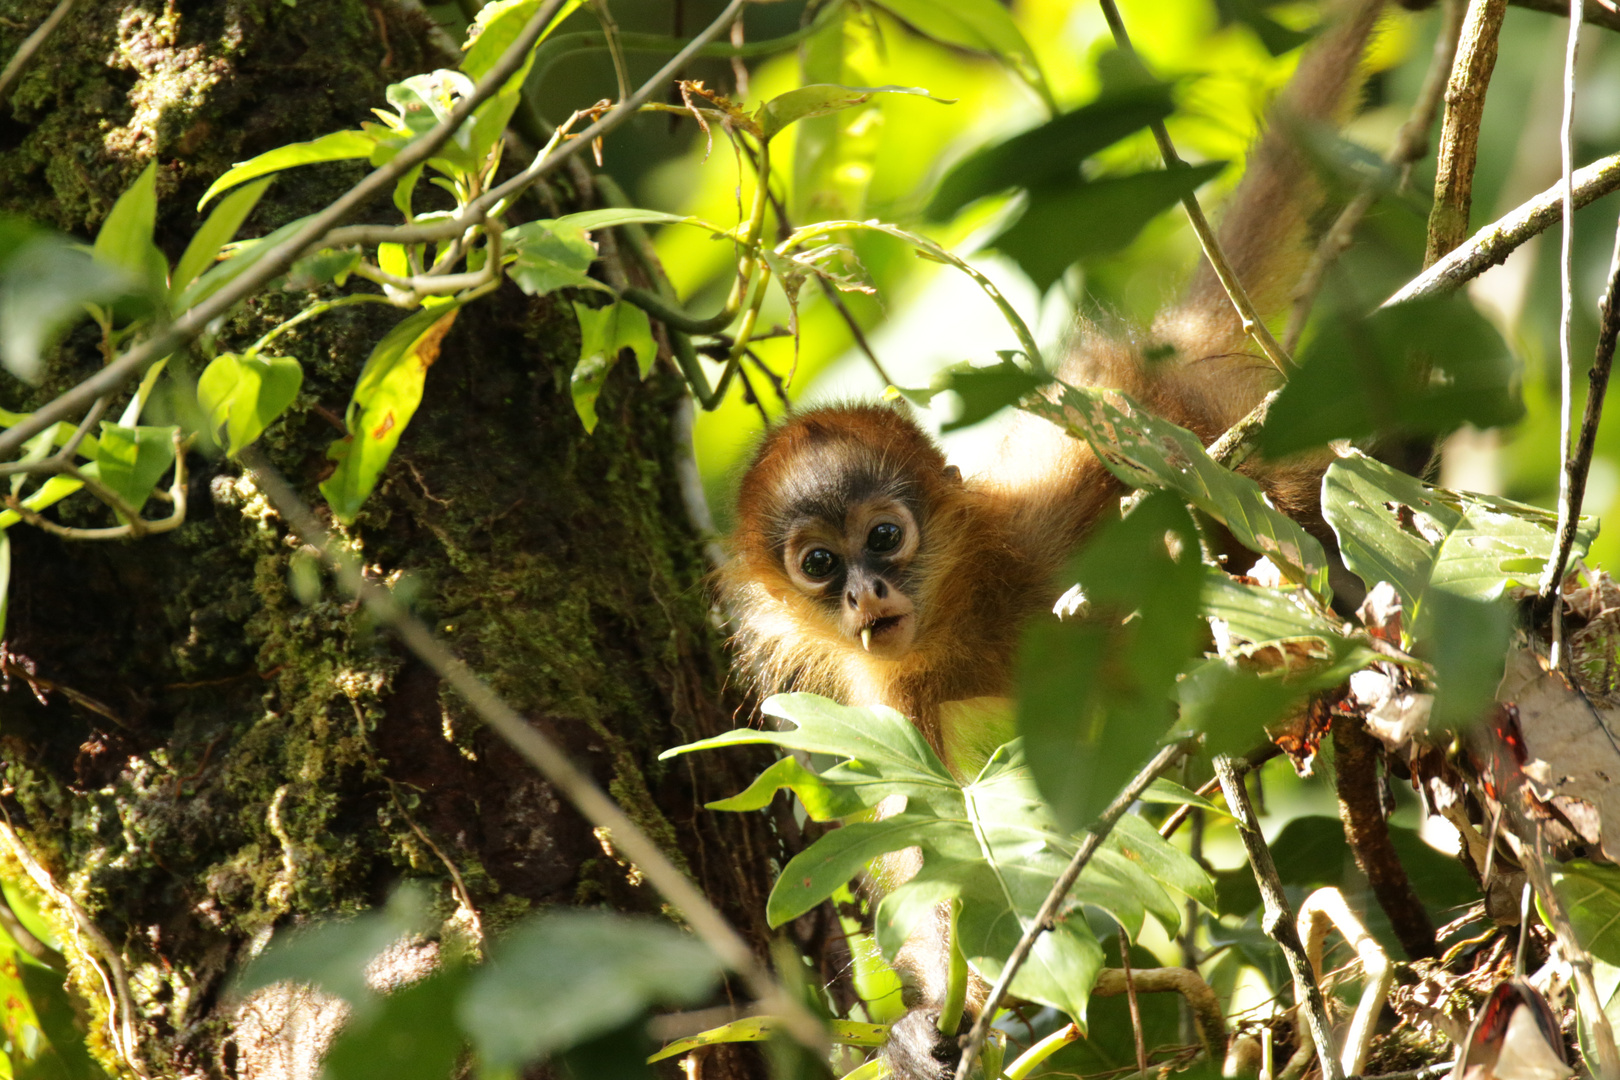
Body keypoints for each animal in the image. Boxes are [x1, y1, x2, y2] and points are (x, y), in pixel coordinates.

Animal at [729, 4, 1386, 1075]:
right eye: (819, 564)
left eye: (884, 536)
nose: (866, 594)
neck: (968, 612)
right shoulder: (891, 701)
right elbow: (934, 845)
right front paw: (927, 1027)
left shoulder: (1054, 514)